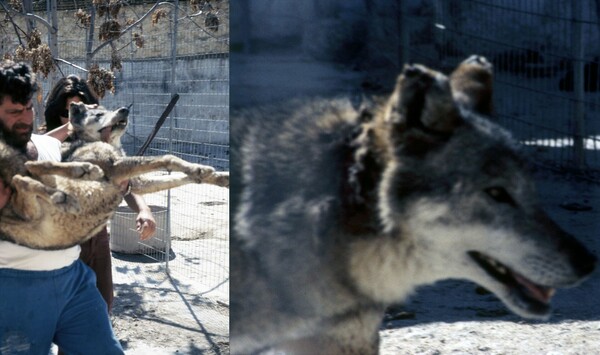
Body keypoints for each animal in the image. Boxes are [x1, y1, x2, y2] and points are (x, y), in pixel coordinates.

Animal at [0, 103, 229, 250]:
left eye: (105, 109)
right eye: (98, 114)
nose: (124, 109)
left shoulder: (135, 182)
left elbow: (176, 178)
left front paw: (214, 175)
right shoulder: (115, 168)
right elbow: (168, 157)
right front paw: (198, 168)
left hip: (30, 206)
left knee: (28, 174)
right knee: (29, 172)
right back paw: (77, 175)